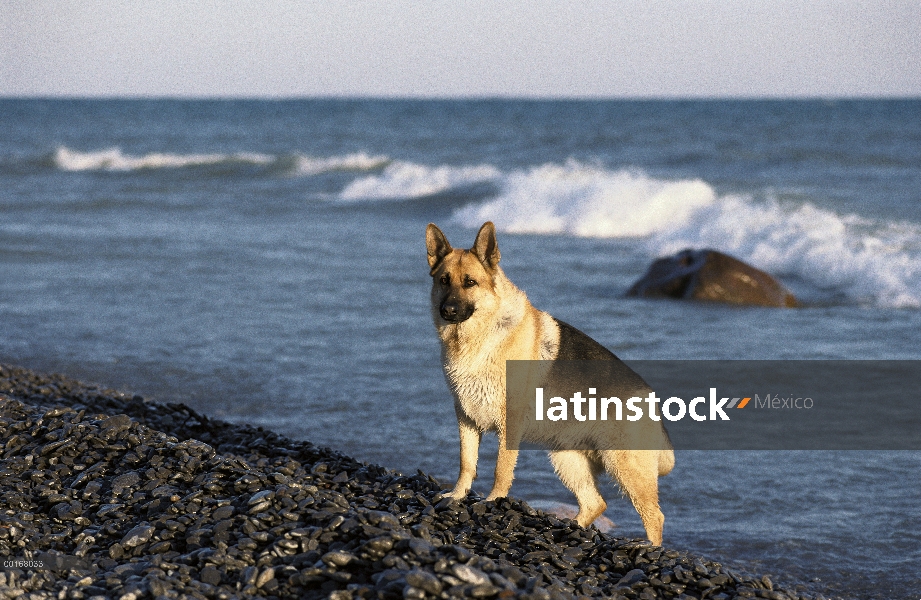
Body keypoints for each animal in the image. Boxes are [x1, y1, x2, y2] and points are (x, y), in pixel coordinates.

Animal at [426, 223, 676, 548]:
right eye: (444, 281)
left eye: (470, 282)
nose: (448, 310)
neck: (478, 337)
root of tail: (651, 399)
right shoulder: (466, 417)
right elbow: (466, 462)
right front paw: (457, 496)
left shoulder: (509, 424)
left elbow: (501, 468)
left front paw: (494, 501)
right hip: (567, 458)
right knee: (596, 503)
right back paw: (566, 531)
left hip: (624, 467)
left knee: (654, 516)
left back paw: (651, 550)